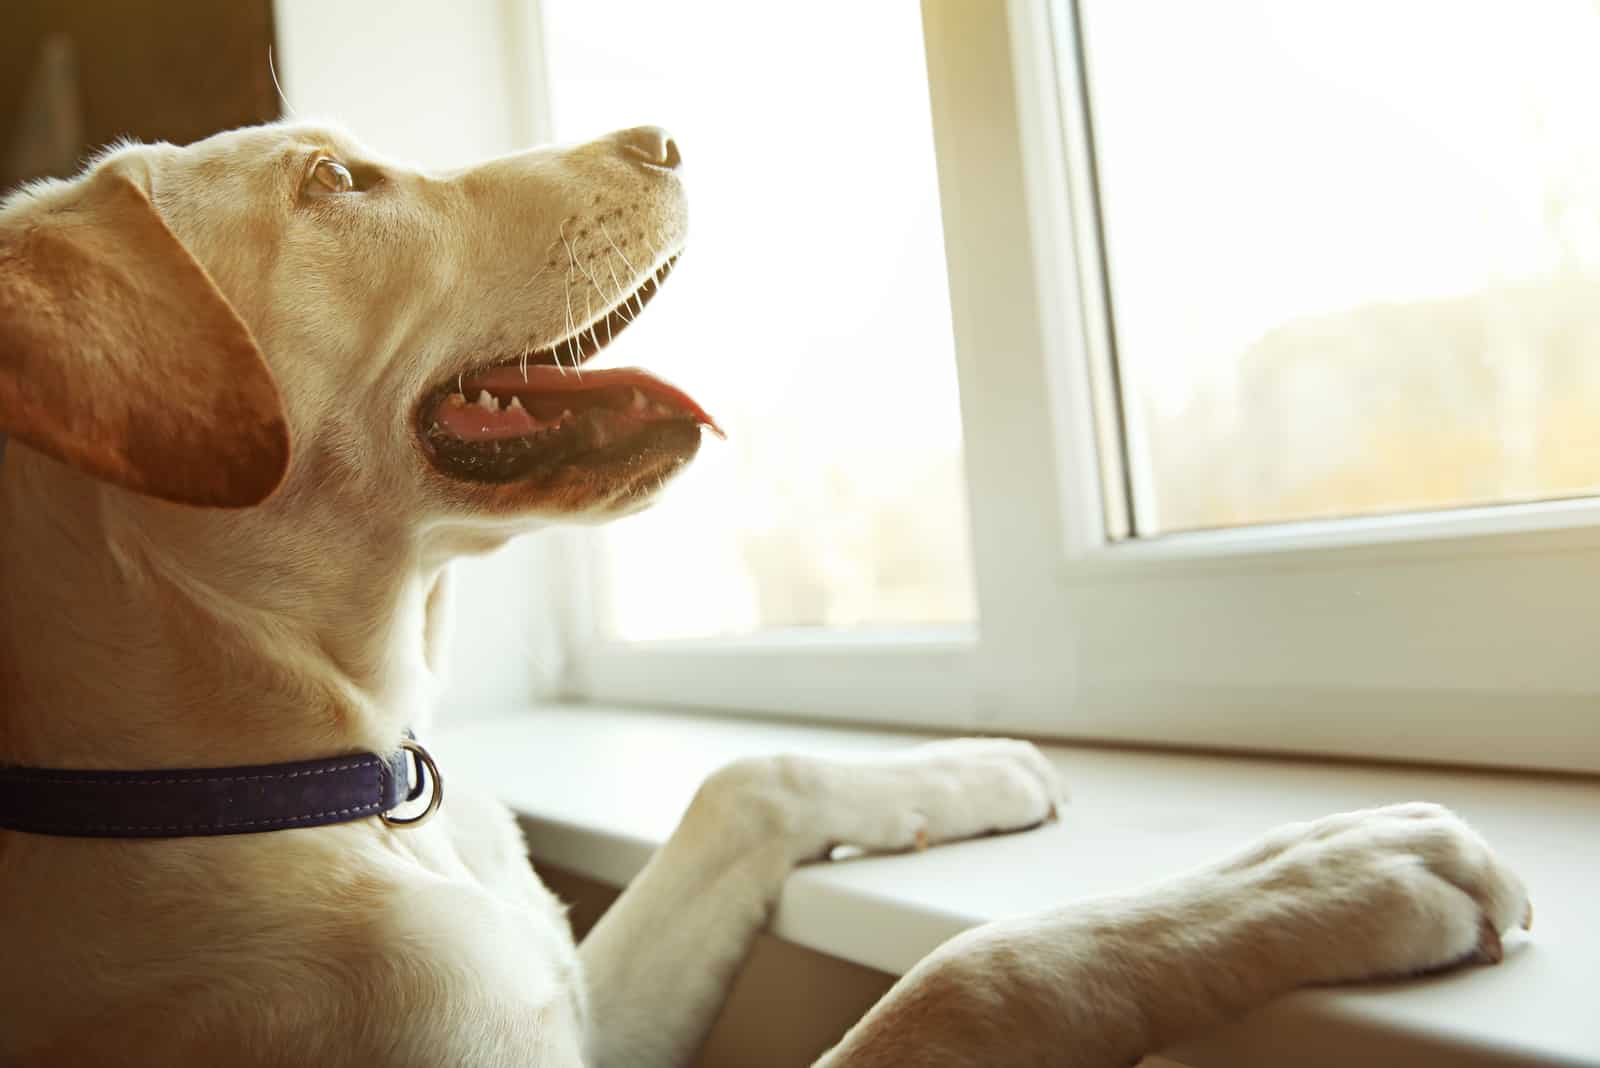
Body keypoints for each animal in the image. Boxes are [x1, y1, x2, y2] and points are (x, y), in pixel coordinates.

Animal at [0, 125, 1523, 1068]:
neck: (342, 794)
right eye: (331, 177)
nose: (664, 137)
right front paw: (1320, 877)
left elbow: (749, 780)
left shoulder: (584, 1012)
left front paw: (963, 770)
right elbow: (973, 975)